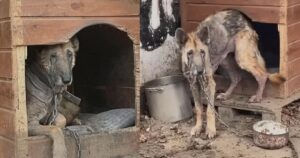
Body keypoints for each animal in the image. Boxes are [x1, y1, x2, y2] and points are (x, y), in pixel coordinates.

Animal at [176, 9, 286, 138]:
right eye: (190, 53)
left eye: (203, 52)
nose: (200, 71)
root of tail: (243, 18)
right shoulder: (193, 85)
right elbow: (199, 109)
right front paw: (198, 127)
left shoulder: (210, 84)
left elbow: (209, 110)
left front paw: (211, 130)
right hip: (225, 61)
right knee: (236, 78)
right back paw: (226, 95)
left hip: (242, 58)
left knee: (262, 75)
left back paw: (257, 97)